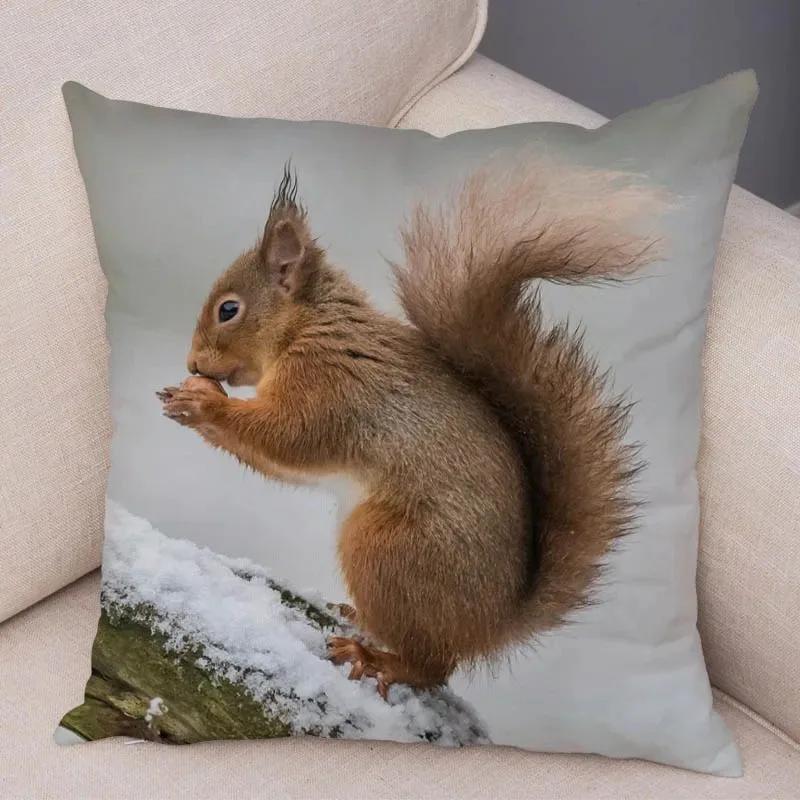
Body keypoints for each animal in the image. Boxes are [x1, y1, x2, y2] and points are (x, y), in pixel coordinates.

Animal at [158, 162, 655, 699]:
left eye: (229, 309)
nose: (192, 364)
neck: (308, 327)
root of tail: (490, 626)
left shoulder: (330, 384)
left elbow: (289, 437)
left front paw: (202, 402)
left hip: (385, 549)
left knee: (432, 667)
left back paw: (378, 658)